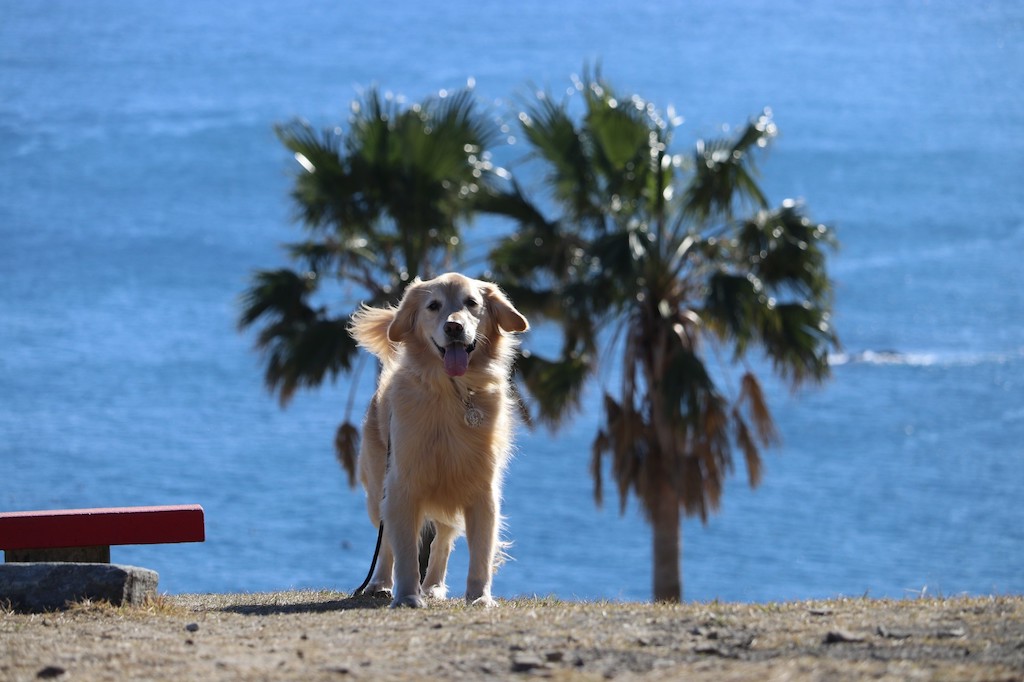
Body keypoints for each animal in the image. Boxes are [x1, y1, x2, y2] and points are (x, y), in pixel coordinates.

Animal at [350, 270, 532, 606]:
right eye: (433, 306)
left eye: (471, 302)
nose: (453, 327)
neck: (452, 391)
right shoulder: (403, 484)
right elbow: (404, 549)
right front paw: (407, 596)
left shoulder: (482, 487)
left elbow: (481, 550)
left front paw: (479, 596)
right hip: (378, 489)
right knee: (386, 543)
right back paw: (380, 583)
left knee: (443, 541)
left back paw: (434, 586)